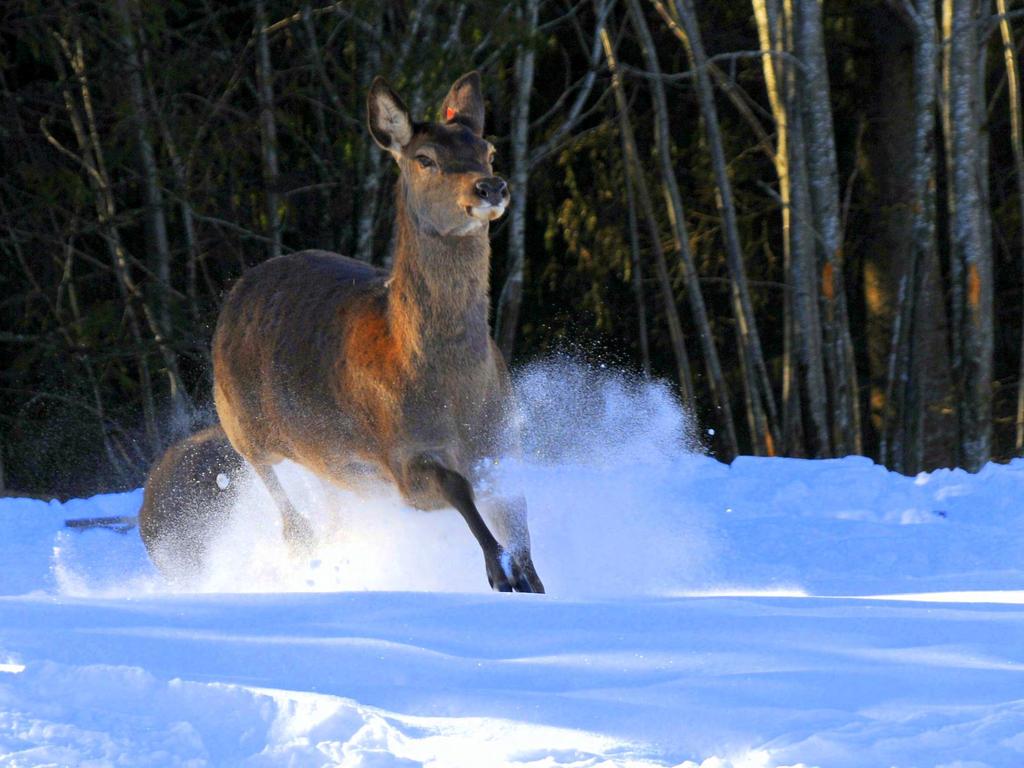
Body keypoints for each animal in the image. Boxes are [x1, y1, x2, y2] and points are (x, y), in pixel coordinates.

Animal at [208, 70, 544, 593]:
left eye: (488, 150)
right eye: (425, 158)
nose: (491, 186)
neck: (453, 391)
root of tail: (238, 289)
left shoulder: (500, 442)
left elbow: (519, 517)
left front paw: (527, 577)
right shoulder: (401, 458)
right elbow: (456, 485)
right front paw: (498, 572)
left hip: (329, 463)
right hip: (239, 421)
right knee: (287, 514)